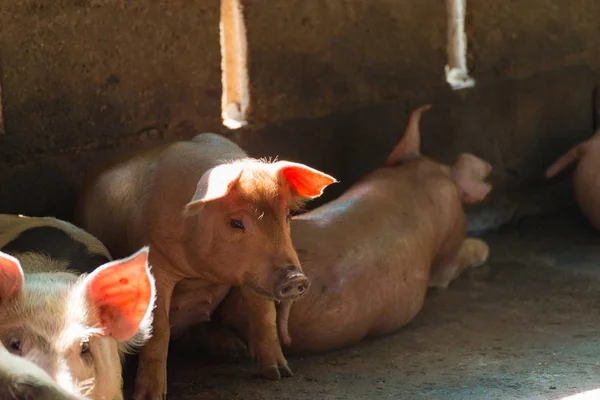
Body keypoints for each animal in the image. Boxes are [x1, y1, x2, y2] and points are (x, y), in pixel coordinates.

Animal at [74, 133, 338, 398]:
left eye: (286, 216)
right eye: (236, 222)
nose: (296, 278)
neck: (200, 272)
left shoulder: (251, 273)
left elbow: (264, 314)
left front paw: (280, 373)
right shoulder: (154, 264)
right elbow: (158, 330)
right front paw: (150, 396)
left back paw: (235, 350)